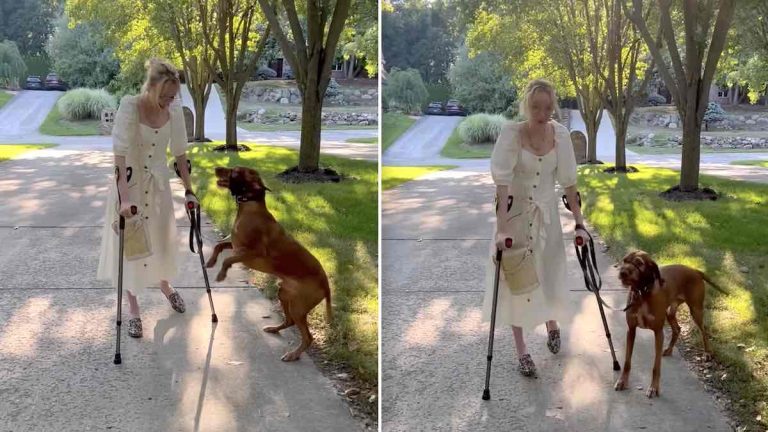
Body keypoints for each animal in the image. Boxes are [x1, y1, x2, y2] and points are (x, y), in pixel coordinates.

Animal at [206, 165, 332, 362]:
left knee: (308, 337)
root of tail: (326, 284)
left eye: (235, 171)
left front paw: (222, 273)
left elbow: (227, 259)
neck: (249, 208)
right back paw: (274, 328)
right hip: (285, 295)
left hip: (298, 307)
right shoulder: (236, 246)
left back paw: (293, 354)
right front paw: (211, 262)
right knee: (289, 321)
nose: (216, 168)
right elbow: (219, 246)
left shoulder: (252, 252)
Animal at [612, 250, 728, 398]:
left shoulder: (658, 332)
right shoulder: (631, 330)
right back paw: (669, 349)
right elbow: (627, 361)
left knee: (703, 330)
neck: (643, 293)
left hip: (695, 310)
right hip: (670, 312)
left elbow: (656, 367)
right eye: (625, 260)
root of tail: (695, 270)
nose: (623, 272)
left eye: (639, 262)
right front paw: (622, 381)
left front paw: (653, 388)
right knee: (677, 329)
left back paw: (707, 353)